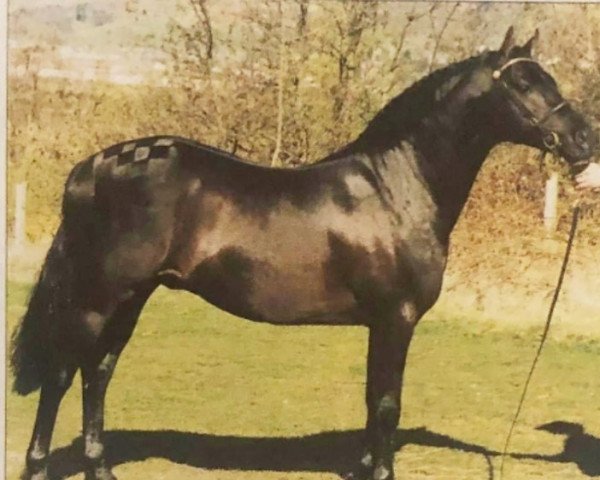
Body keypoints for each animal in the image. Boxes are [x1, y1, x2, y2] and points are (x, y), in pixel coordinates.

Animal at [11, 29, 596, 480]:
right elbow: (387, 403)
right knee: (61, 374)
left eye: (548, 79)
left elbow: (373, 398)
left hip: (132, 297)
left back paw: (100, 467)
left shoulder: (381, 323)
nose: (584, 142)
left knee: (98, 372)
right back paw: (38, 465)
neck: (396, 187)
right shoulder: (396, 318)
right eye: (523, 84)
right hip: (98, 297)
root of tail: (90, 168)